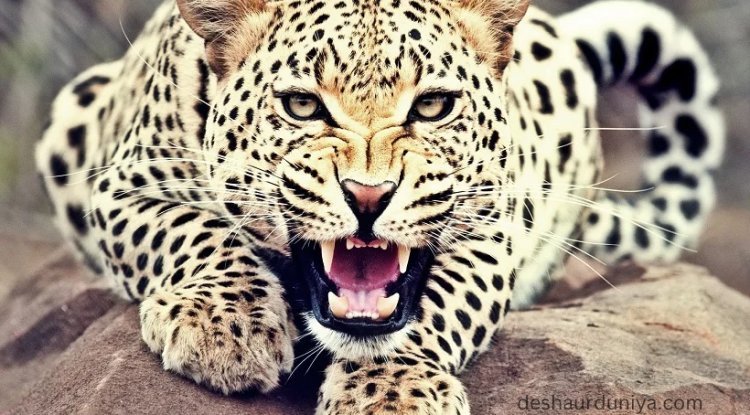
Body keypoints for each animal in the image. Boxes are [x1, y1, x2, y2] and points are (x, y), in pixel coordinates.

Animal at [36, 0, 724, 413]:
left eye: (433, 106)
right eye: (302, 106)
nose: (368, 195)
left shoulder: (490, 225)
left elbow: (435, 309)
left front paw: (391, 392)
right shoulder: (121, 185)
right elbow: (196, 231)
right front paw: (225, 328)